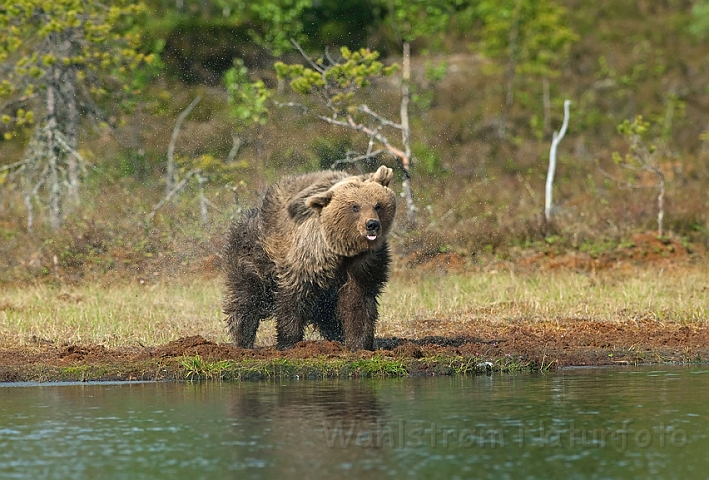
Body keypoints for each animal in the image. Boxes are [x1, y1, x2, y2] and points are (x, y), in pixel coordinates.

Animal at [223, 165, 396, 348]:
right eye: (355, 207)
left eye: (378, 205)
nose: (372, 225)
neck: (341, 251)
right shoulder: (305, 260)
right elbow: (293, 300)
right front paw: (288, 342)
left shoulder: (364, 265)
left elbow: (359, 300)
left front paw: (360, 344)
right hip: (252, 259)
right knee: (245, 299)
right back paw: (243, 340)